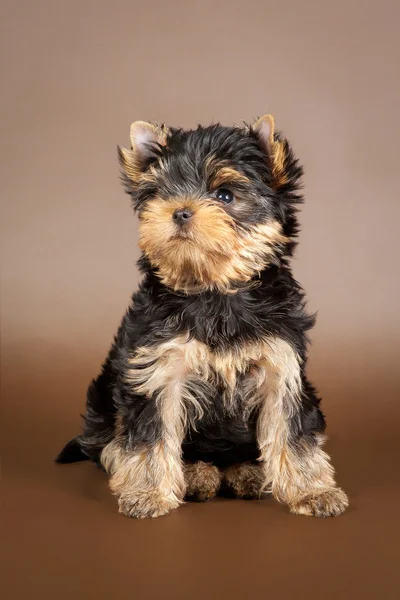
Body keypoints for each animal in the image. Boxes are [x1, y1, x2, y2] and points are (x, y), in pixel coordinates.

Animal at [57, 115, 348, 516]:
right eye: (161, 192)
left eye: (224, 195)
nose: (179, 210)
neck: (214, 289)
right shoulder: (159, 368)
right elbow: (151, 432)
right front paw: (148, 492)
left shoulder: (280, 365)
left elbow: (293, 431)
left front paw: (312, 491)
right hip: (104, 399)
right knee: (109, 444)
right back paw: (194, 474)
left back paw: (247, 473)